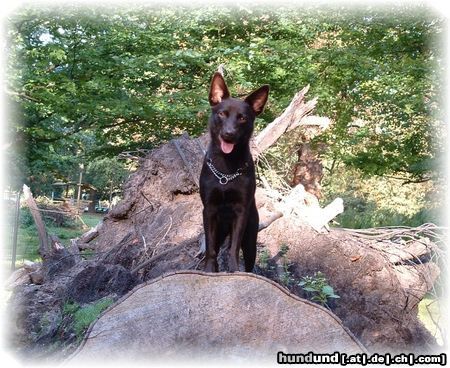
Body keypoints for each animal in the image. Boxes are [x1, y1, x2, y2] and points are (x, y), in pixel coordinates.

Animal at [200, 72, 268, 274]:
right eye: (222, 114)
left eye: (242, 118)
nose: (229, 134)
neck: (226, 171)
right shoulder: (209, 210)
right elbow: (210, 249)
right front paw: (209, 271)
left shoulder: (241, 212)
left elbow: (234, 248)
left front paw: (234, 269)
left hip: (251, 238)